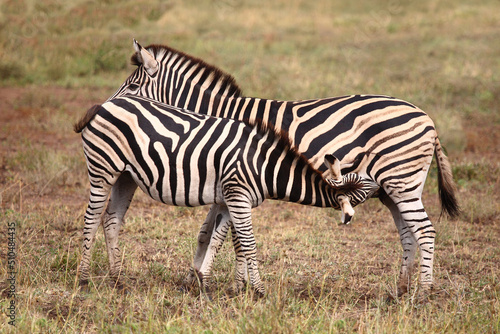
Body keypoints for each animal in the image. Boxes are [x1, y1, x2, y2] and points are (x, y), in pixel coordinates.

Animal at [74, 94, 378, 294]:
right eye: (366, 189)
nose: (382, 187)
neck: (265, 165)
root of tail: (105, 104)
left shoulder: (227, 199)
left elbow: (218, 240)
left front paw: (205, 282)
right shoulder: (238, 196)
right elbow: (248, 243)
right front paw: (258, 291)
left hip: (126, 176)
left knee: (112, 219)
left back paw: (117, 280)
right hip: (103, 168)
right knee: (92, 218)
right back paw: (84, 279)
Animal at [107, 39, 458, 298]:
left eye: (133, 89)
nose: (108, 110)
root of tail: (427, 118)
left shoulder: (235, 176)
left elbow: (231, 236)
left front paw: (236, 286)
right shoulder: (226, 181)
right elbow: (210, 232)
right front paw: (205, 279)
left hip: (401, 182)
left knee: (424, 231)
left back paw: (422, 294)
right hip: (392, 189)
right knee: (408, 233)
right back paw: (399, 291)